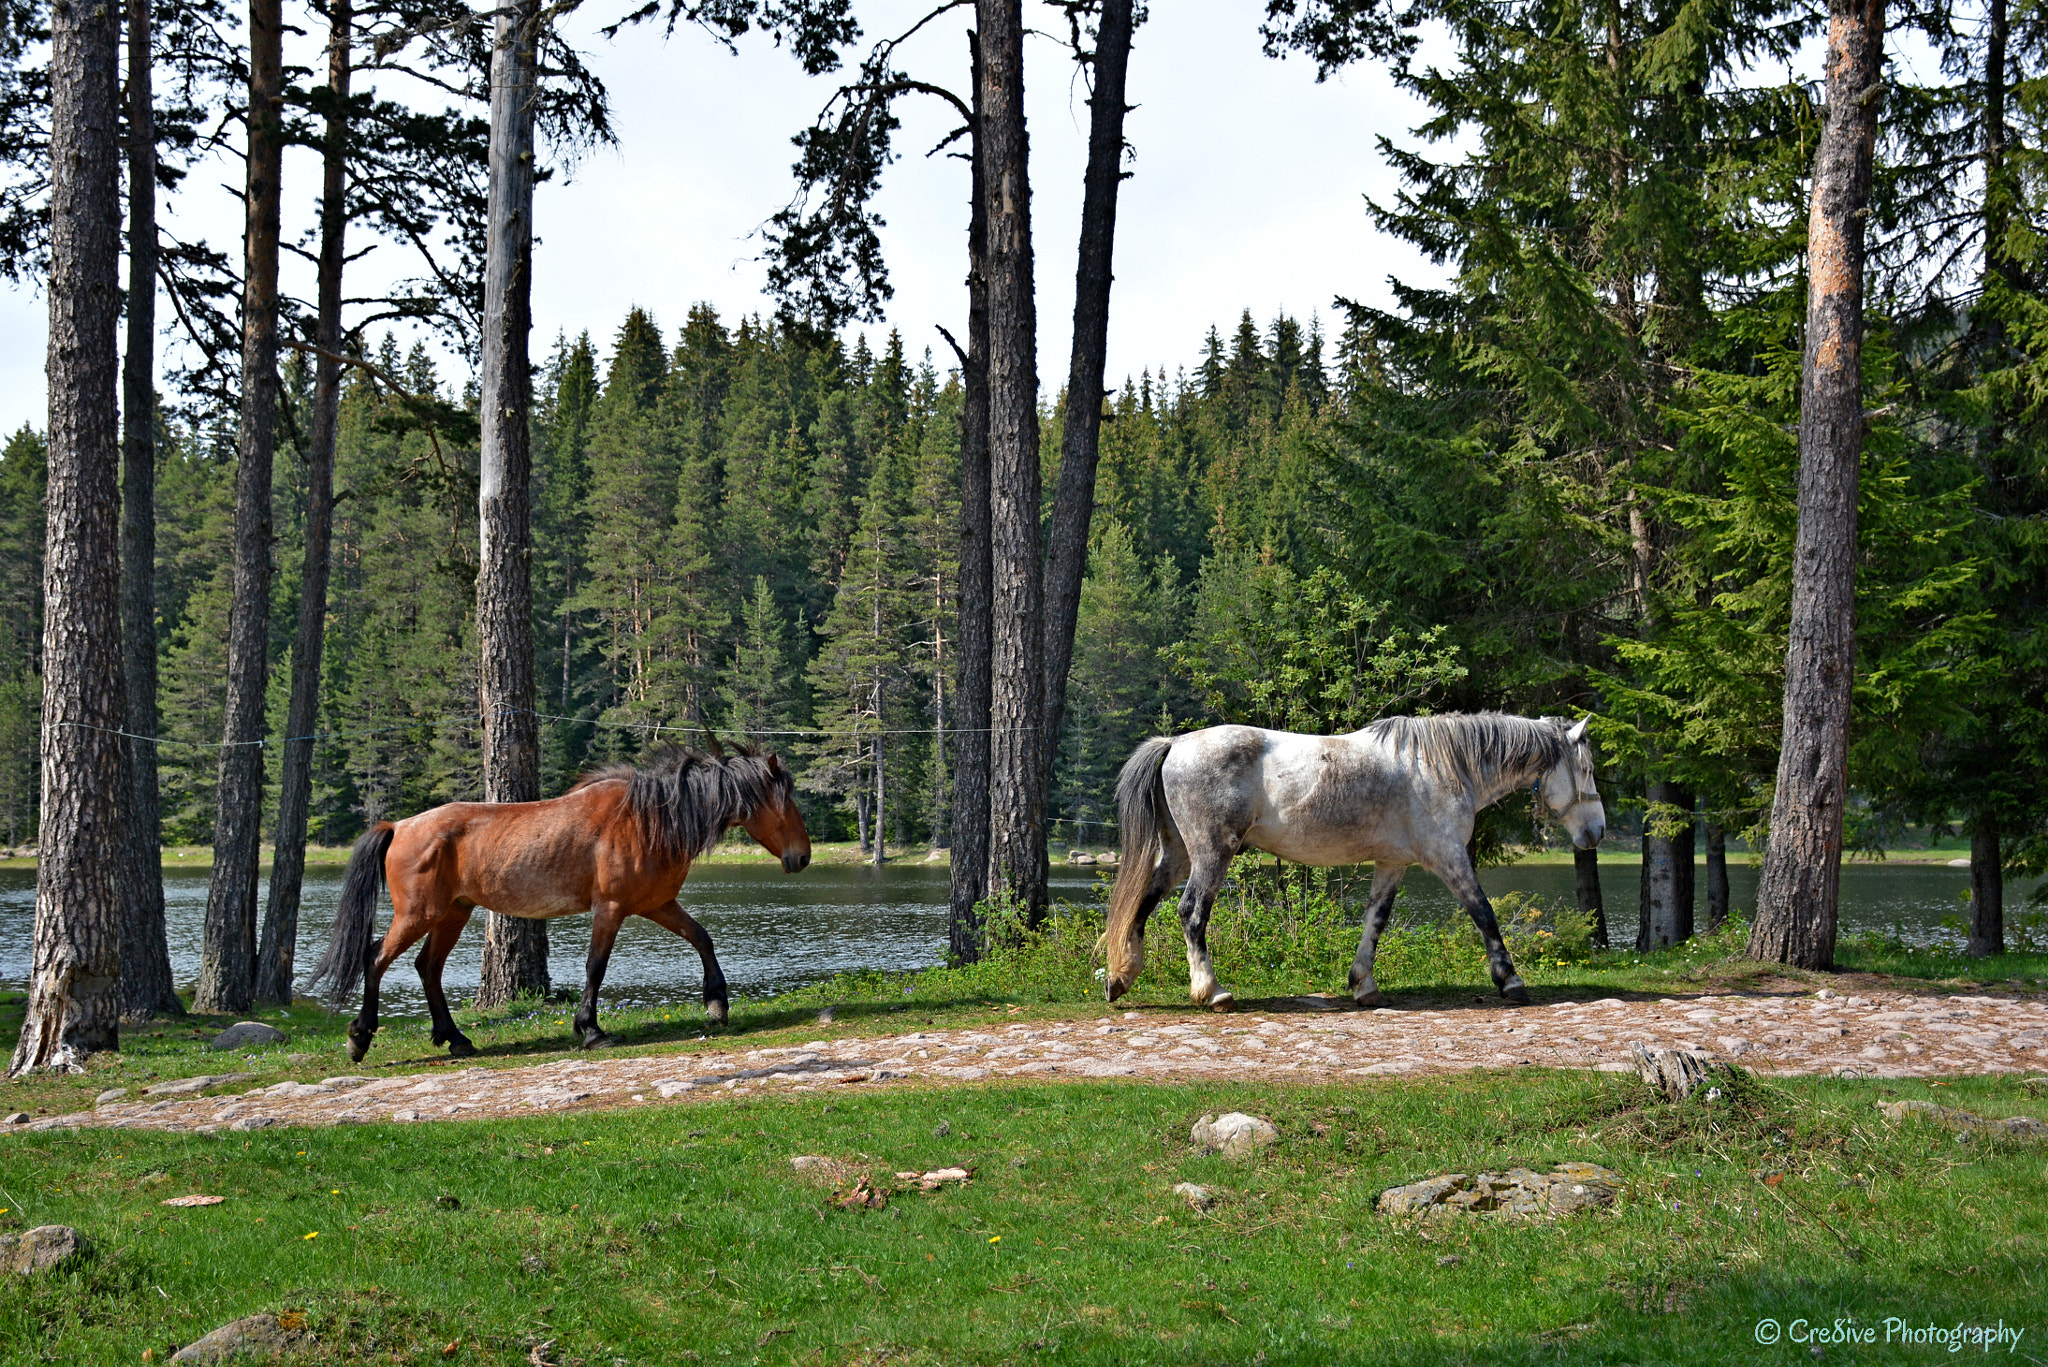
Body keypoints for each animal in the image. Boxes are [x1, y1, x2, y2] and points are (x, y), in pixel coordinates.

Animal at [309, 743, 811, 1062]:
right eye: (787, 803)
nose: (802, 857)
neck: (648, 820)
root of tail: (400, 826)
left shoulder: (657, 903)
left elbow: (702, 938)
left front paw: (716, 1002)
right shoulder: (611, 908)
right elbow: (596, 967)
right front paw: (590, 1029)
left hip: (453, 911)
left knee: (427, 968)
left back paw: (456, 1039)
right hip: (419, 914)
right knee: (375, 958)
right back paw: (360, 1036)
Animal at [1104, 713, 1606, 1011]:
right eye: (1586, 769)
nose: (1597, 832)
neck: (1445, 767)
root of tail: (1175, 744)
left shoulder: (1392, 863)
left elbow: (1375, 921)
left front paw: (1363, 983)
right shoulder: (1448, 857)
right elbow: (1483, 912)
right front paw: (1510, 979)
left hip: (1179, 854)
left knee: (1143, 904)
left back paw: (1121, 977)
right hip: (1211, 854)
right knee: (1191, 913)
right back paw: (1211, 991)